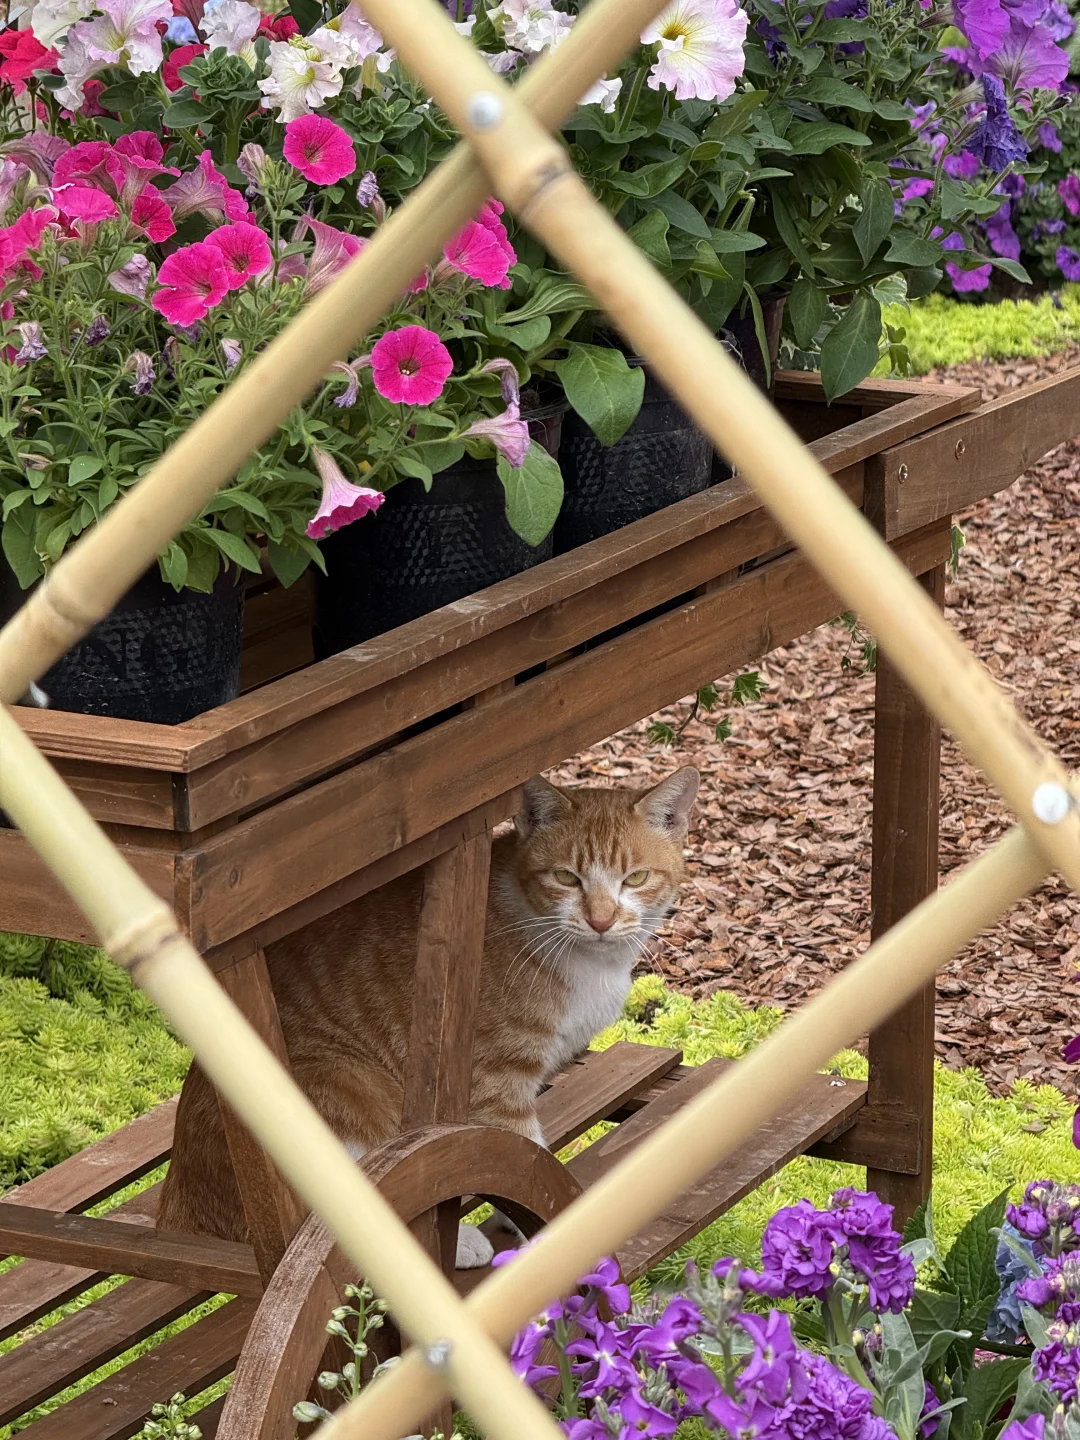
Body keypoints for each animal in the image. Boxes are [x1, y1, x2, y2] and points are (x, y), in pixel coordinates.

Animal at [160, 771, 702, 1267]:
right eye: (567, 878)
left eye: (635, 879)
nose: (601, 920)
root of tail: (177, 1210)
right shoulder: (494, 1082)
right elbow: (526, 1159)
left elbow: (517, 1160)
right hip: (347, 1086)